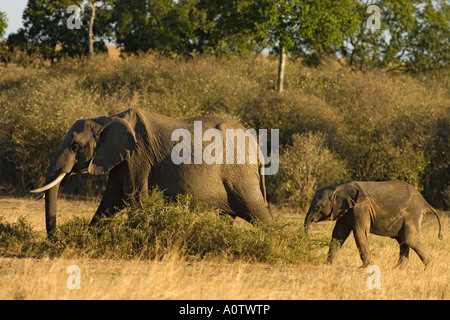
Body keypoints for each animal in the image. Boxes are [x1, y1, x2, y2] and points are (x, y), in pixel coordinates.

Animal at [32, 109, 270, 236]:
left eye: (74, 146)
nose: (55, 237)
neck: (107, 119)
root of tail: (256, 146)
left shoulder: (138, 156)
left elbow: (134, 199)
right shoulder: (121, 160)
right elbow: (111, 200)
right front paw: (88, 238)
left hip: (239, 173)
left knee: (256, 211)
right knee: (227, 216)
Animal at [304, 180, 442, 268]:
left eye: (317, 207)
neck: (339, 187)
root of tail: (425, 202)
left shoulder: (360, 207)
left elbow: (360, 232)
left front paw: (365, 268)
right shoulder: (347, 209)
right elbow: (338, 234)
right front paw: (327, 266)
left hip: (411, 214)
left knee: (409, 239)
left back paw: (430, 266)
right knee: (403, 241)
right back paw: (398, 268)